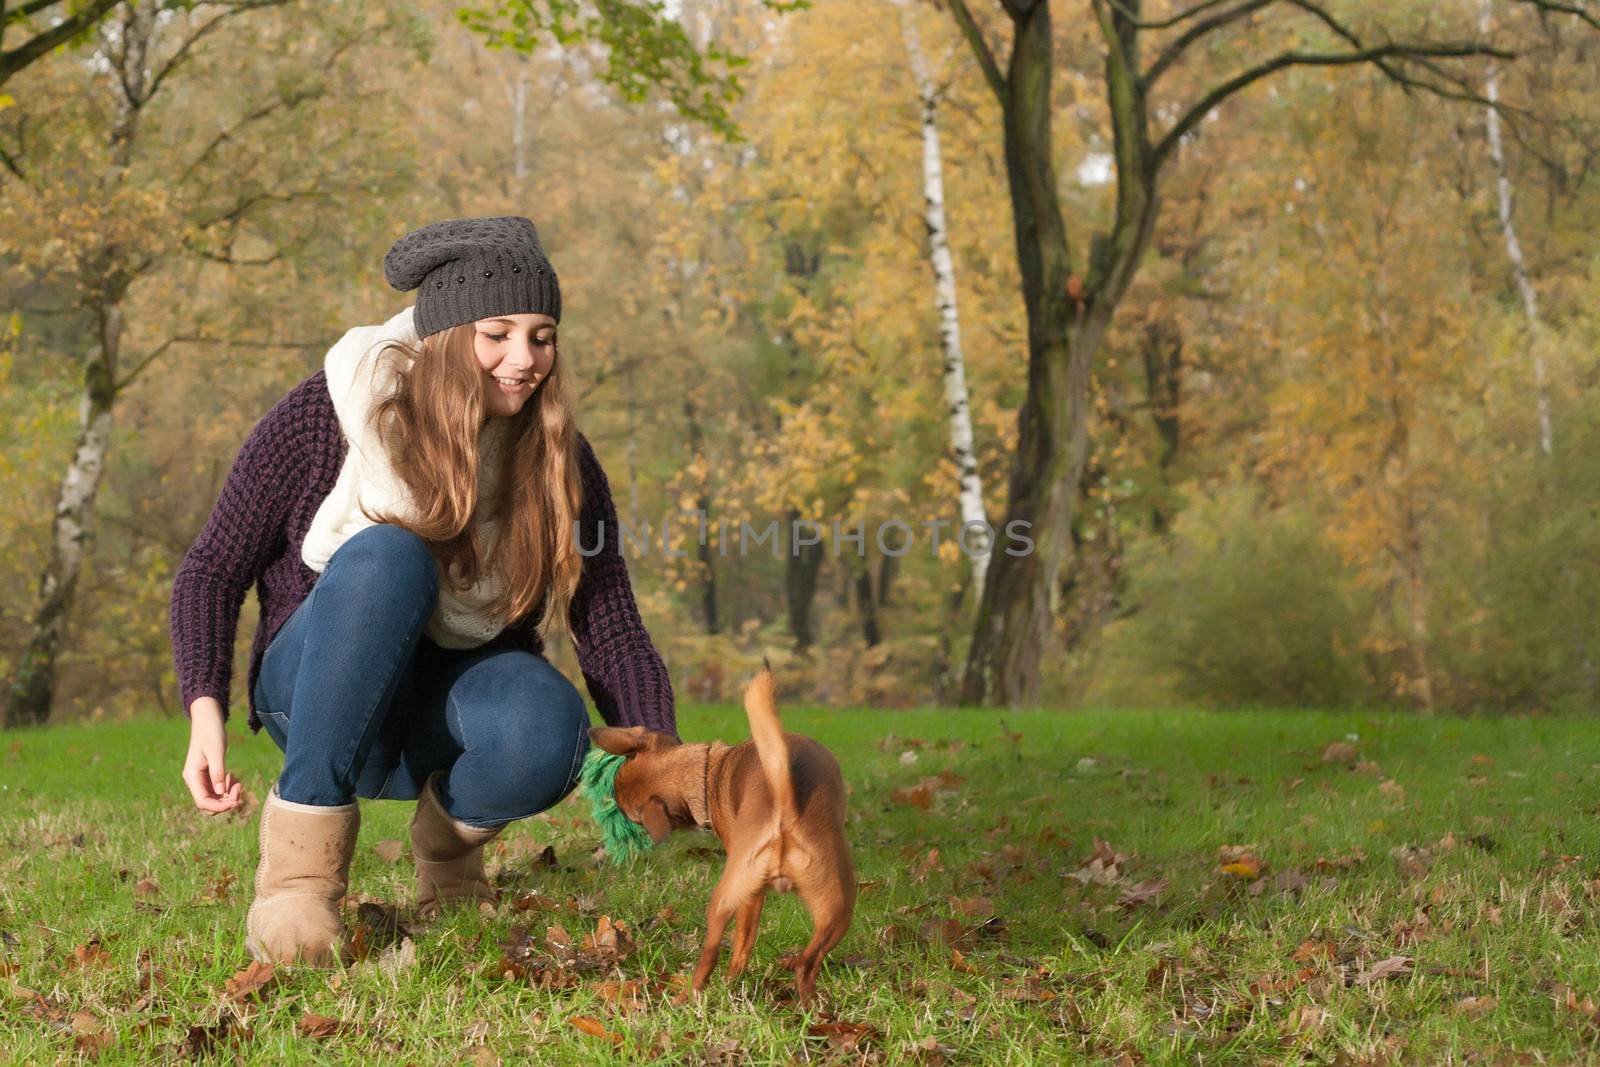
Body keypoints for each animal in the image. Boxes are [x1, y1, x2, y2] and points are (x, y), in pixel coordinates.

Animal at [588, 662, 857, 1004]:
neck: (708, 773)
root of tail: (784, 803)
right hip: (835, 908)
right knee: (803, 961)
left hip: (733, 897)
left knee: (719, 953)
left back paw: (694, 995)